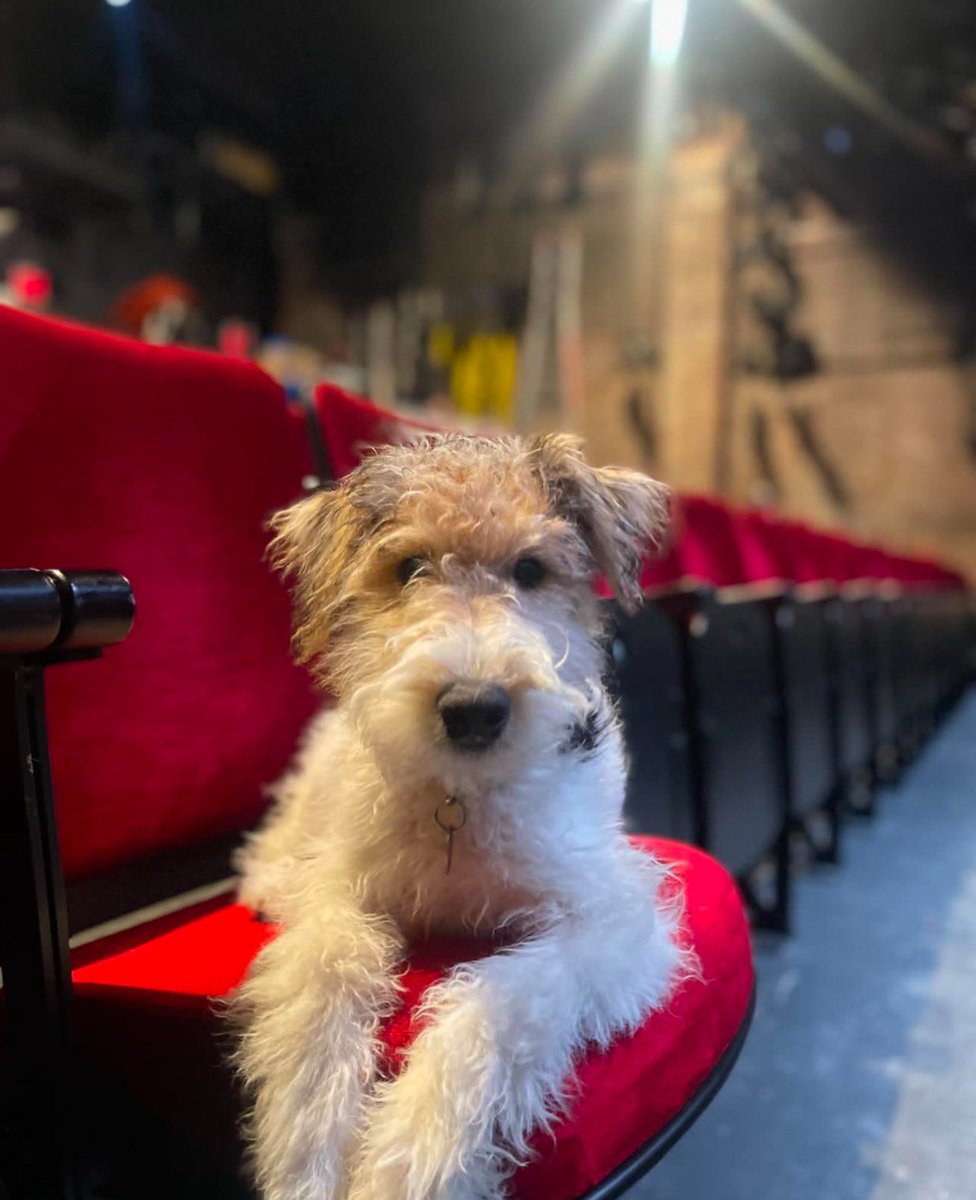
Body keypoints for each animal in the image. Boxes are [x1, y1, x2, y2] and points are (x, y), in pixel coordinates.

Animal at [231, 432, 691, 1200]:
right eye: (408, 567)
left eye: (531, 569)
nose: (474, 709)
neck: (462, 801)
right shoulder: (343, 892)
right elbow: (328, 970)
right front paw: (308, 1153)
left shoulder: (612, 922)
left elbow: (500, 1001)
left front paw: (410, 1154)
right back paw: (270, 880)